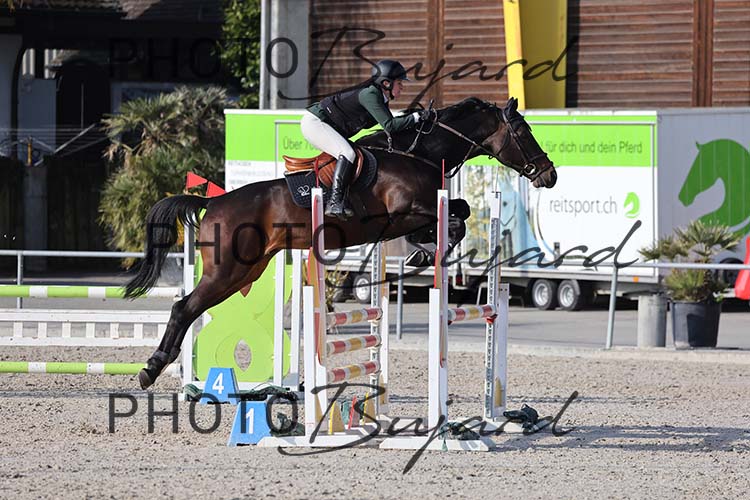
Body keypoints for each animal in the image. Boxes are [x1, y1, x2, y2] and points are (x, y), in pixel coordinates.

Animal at [125, 96, 557, 389]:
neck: (416, 153)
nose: (548, 174)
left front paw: (424, 250)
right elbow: (452, 221)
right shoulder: (405, 212)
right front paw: (425, 252)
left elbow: (461, 211)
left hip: (246, 271)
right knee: (184, 307)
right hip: (227, 270)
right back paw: (151, 368)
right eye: (523, 132)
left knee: (192, 308)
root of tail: (213, 202)